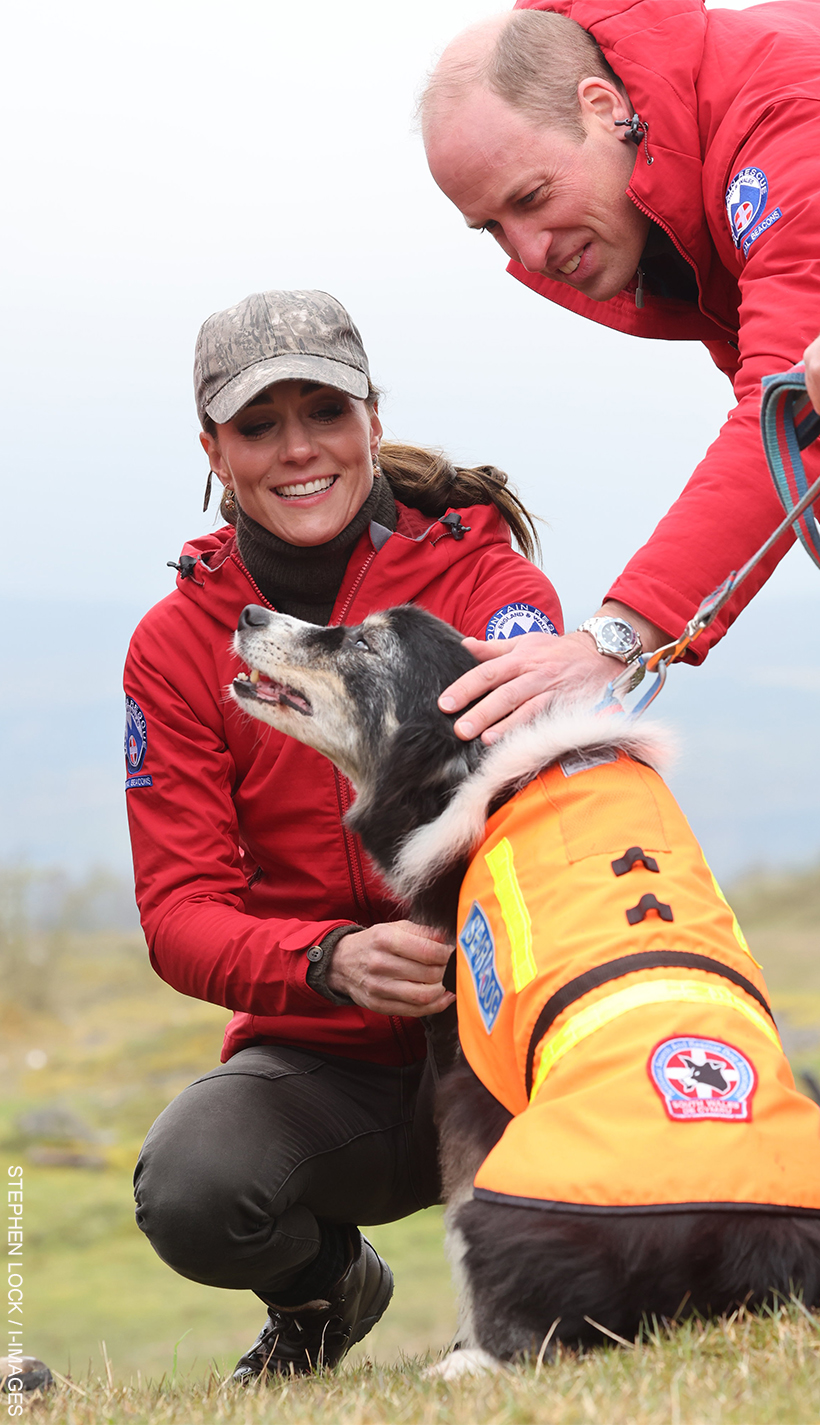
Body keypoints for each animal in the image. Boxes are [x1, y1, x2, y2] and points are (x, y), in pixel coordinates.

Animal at [232, 601, 820, 1368]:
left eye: (365, 643)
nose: (248, 611)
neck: (484, 773)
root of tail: (731, 1249)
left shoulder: (471, 1076)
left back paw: (467, 1364)